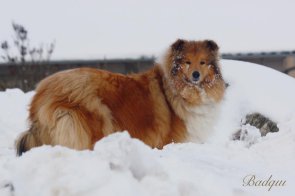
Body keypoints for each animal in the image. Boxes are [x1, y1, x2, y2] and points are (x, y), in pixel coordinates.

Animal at [15, 38, 225, 155]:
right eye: (187, 62)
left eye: (203, 62)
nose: (196, 75)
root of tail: (41, 92)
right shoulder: (170, 141)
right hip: (91, 119)